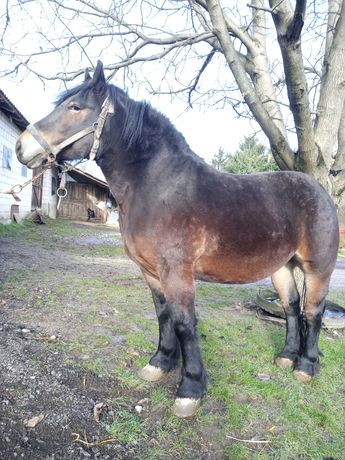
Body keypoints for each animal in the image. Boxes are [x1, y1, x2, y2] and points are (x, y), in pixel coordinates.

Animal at [15, 60, 336, 416]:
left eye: (75, 107)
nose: (21, 146)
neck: (160, 188)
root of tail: (320, 191)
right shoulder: (152, 272)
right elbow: (164, 315)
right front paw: (160, 363)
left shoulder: (177, 272)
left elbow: (184, 322)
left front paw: (190, 388)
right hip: (280, 267)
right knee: (291, 307)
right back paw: (285, 357)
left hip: (317, 268)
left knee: (313, 312)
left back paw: (305, 366)